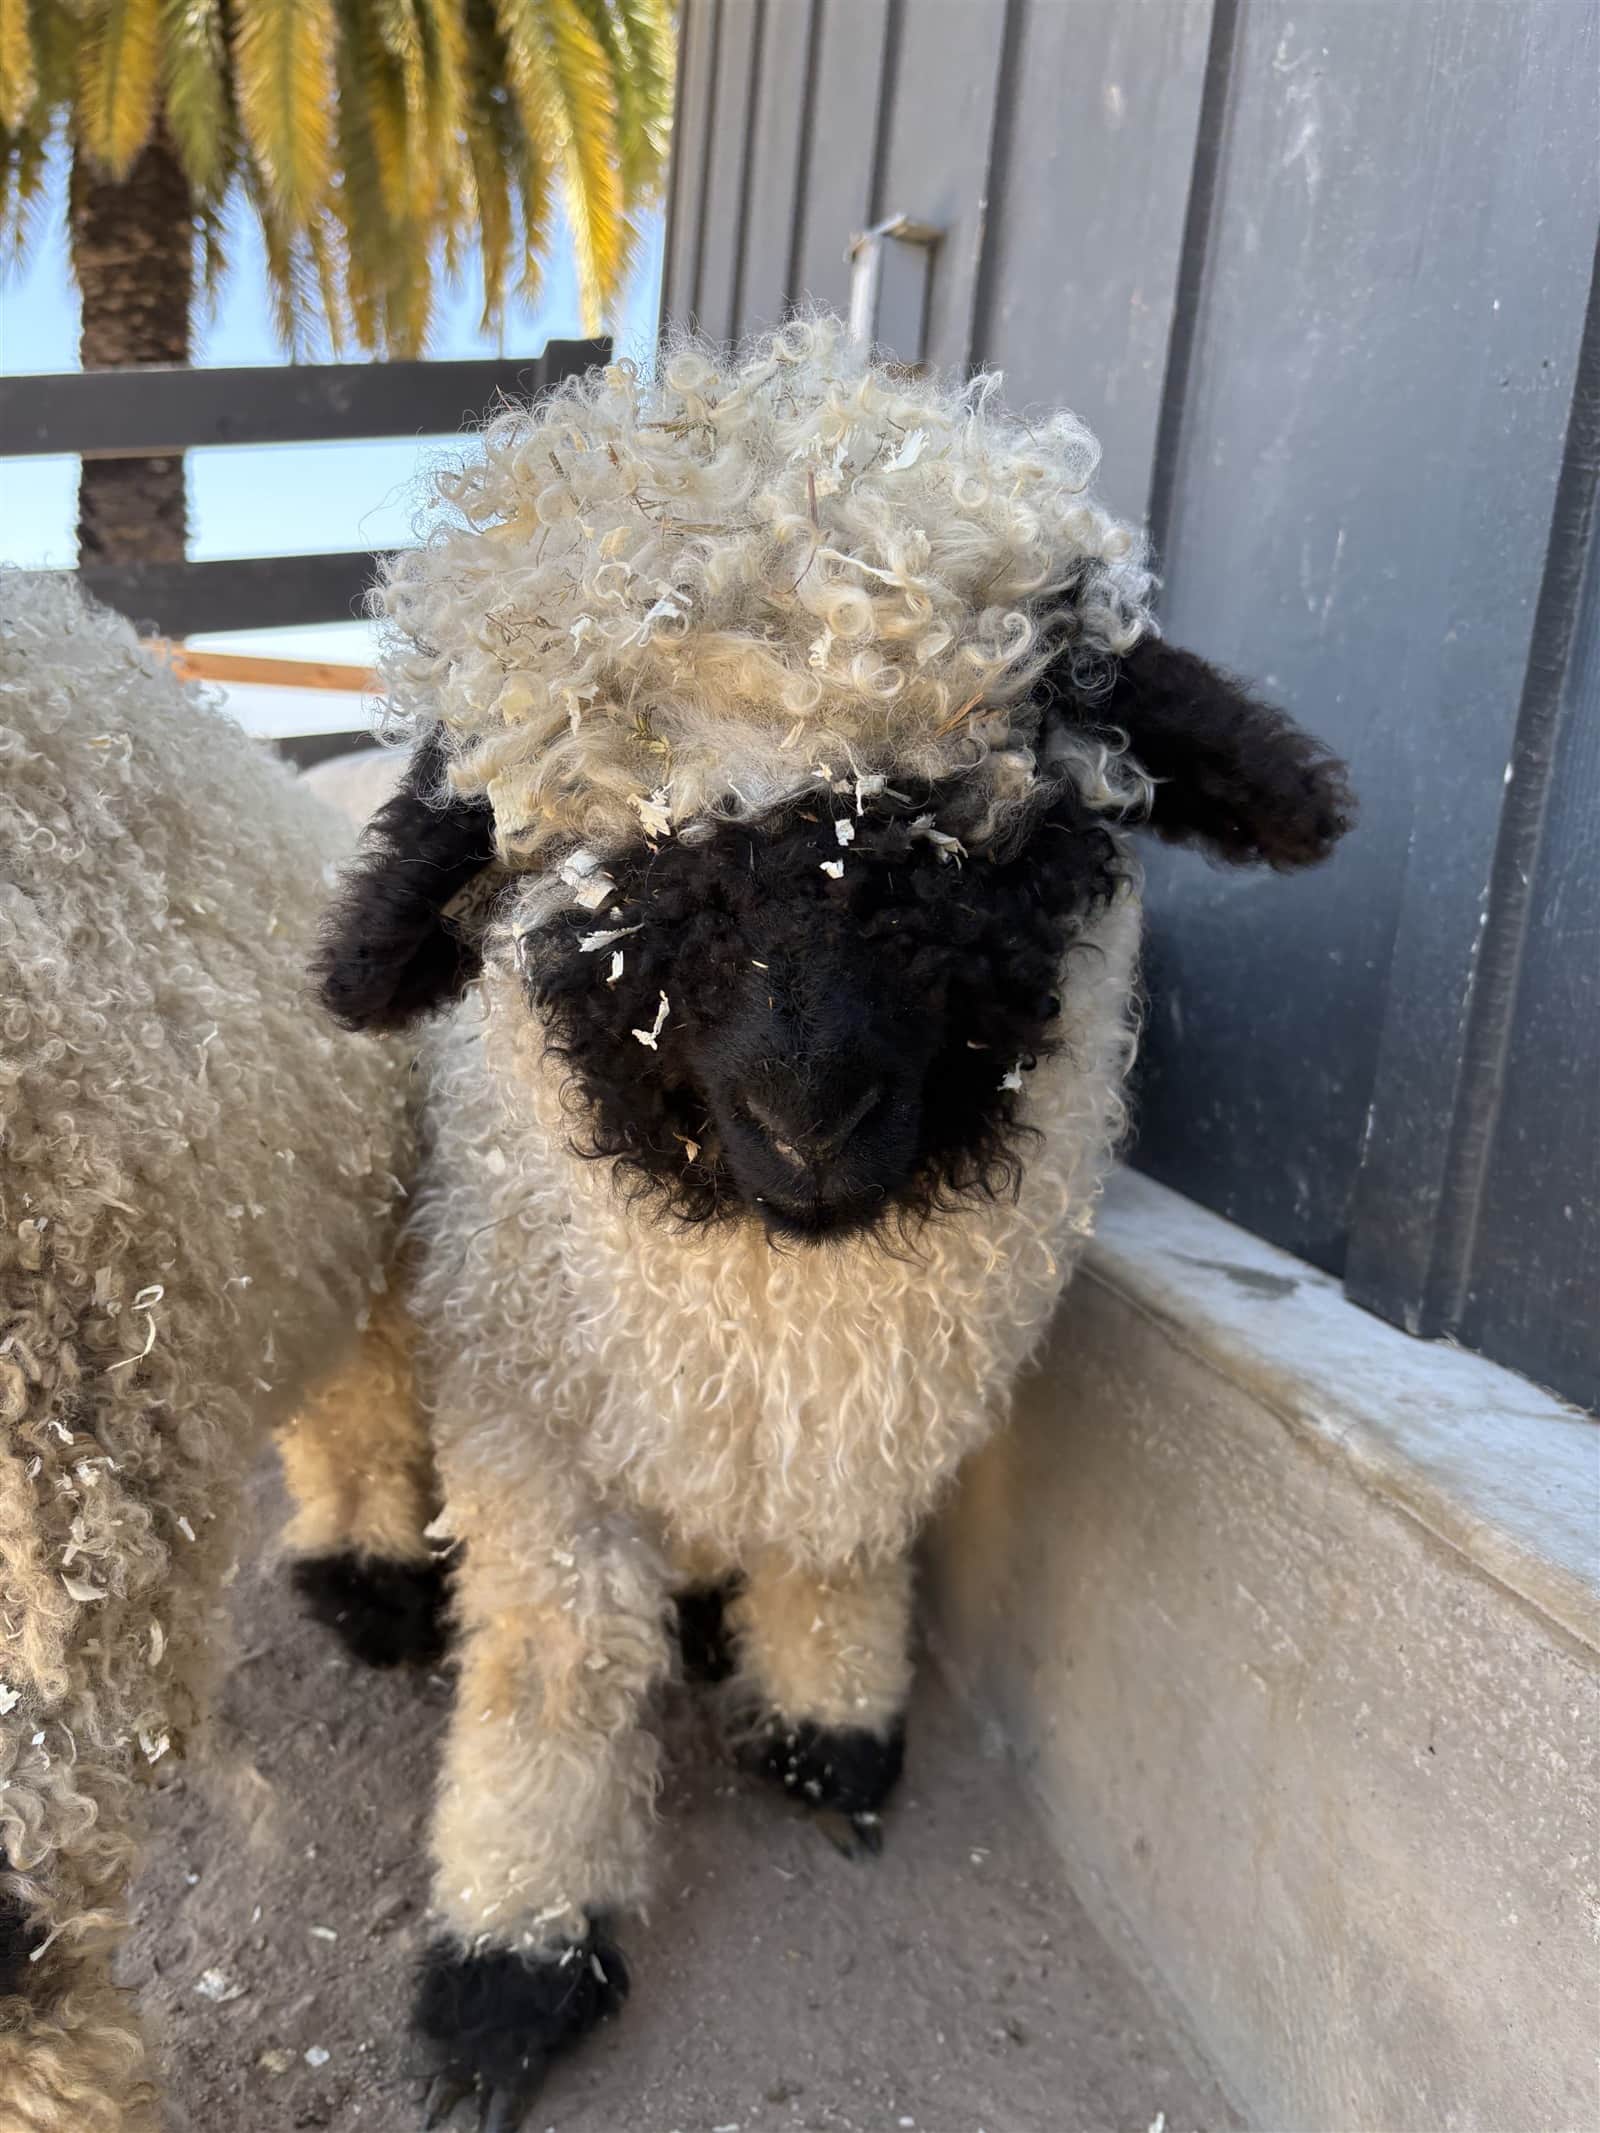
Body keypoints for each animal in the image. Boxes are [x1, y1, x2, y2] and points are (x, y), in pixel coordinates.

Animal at [304, 319, 1354, 2128]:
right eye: (600, 861)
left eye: (974, 819)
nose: (809, 1113)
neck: (785, 1309)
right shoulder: (536, 1423)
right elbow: (555, 1664)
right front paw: (515, 1947)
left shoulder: (874, 1419)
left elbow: (844, 1546)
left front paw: (830, 1718)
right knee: (358, 1402)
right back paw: (366, 1576)